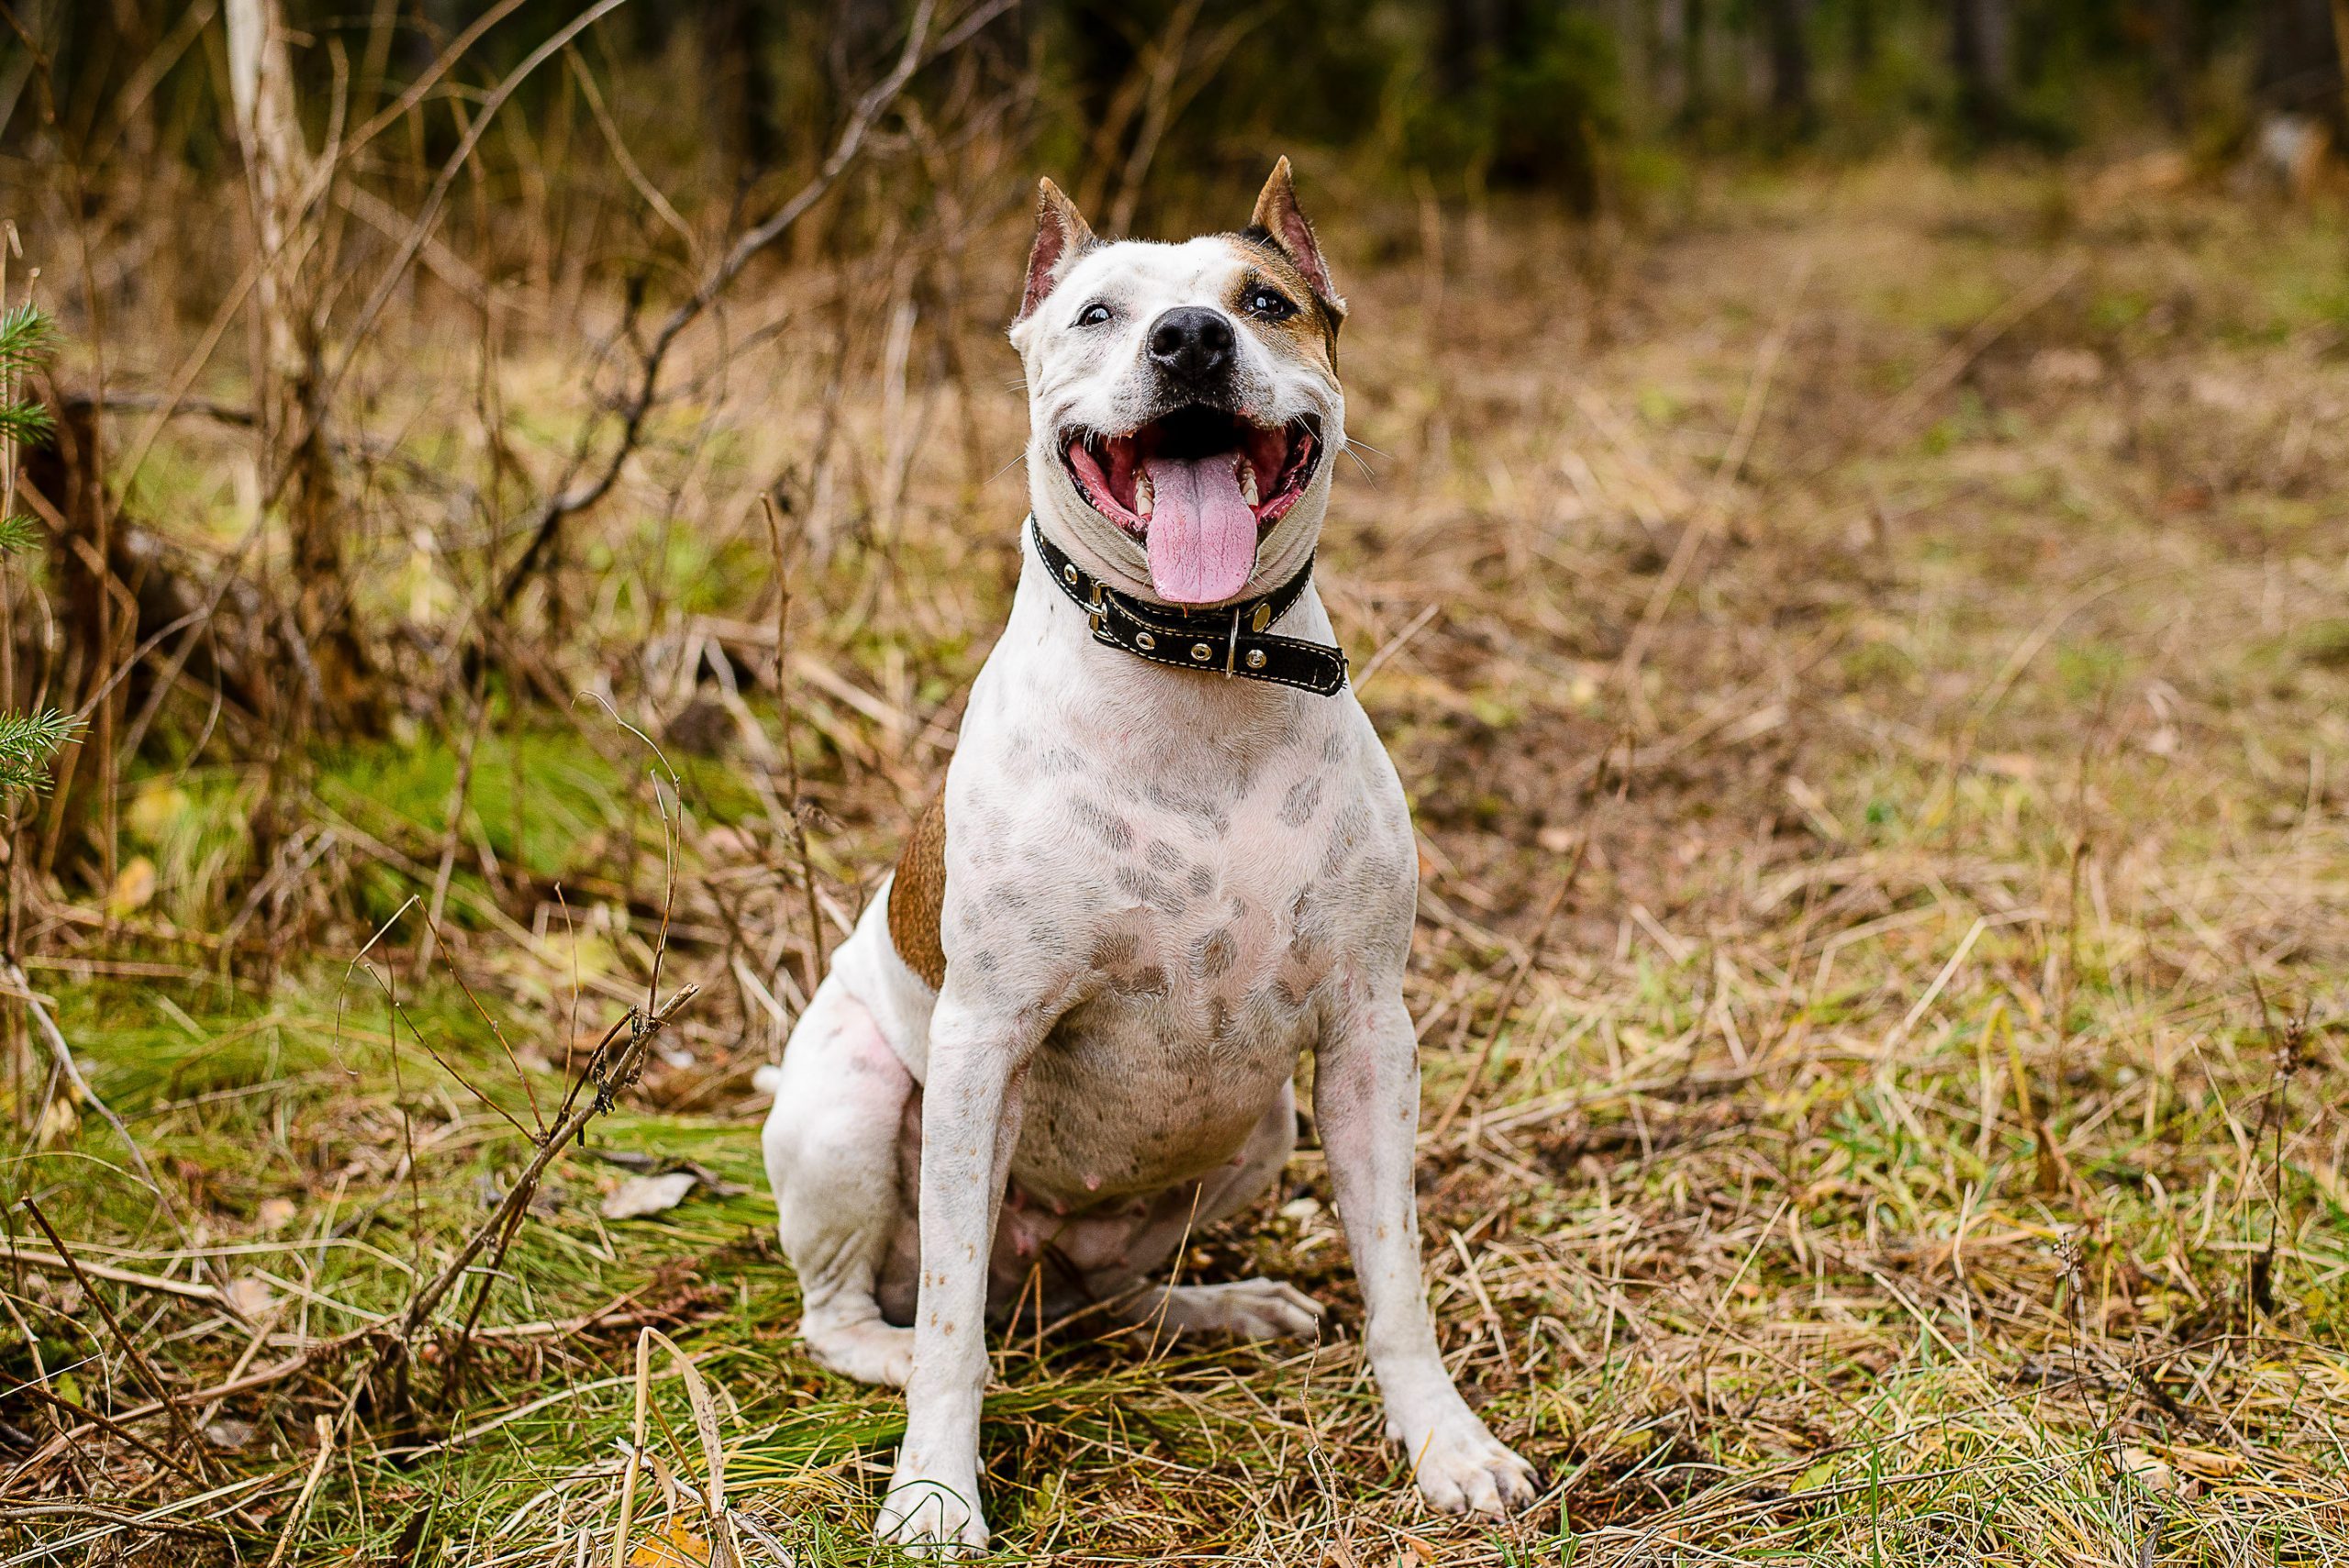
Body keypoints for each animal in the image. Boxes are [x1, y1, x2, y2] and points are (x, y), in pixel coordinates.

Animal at [765, 159, 1541, 1558]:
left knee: (1101, 1297)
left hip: (1257, 1130)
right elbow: (950, 1321)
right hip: (852, 1100)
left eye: (1266, 300)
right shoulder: (983, 1043)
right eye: (1098, 313)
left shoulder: (1367, 1035)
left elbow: (1397, 1275)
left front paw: (1446, 1446)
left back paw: (1215, 1308)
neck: (1193, 665)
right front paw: (933, 1492)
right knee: (871, 1311)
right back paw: (898, 1356)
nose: (1189, 337)